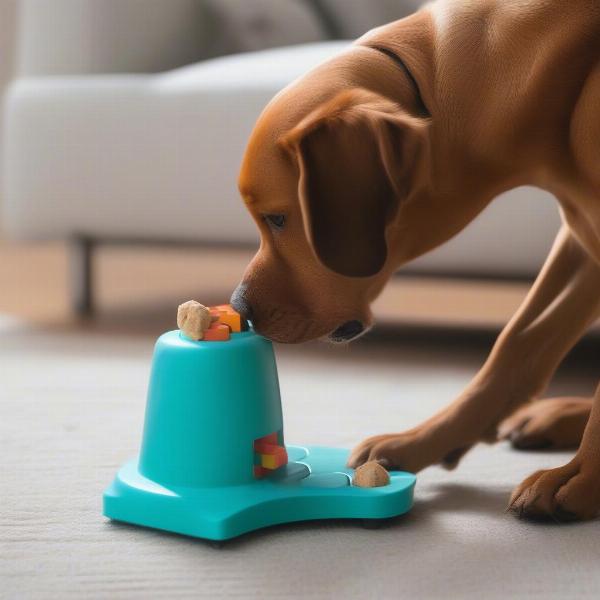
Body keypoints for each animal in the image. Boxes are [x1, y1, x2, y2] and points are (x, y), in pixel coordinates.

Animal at [232, 0, 600, 524]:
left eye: (278, 218)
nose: (238, 308)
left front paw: (583, 479)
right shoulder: (580, 235)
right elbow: (515, 345)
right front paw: (422, 440)